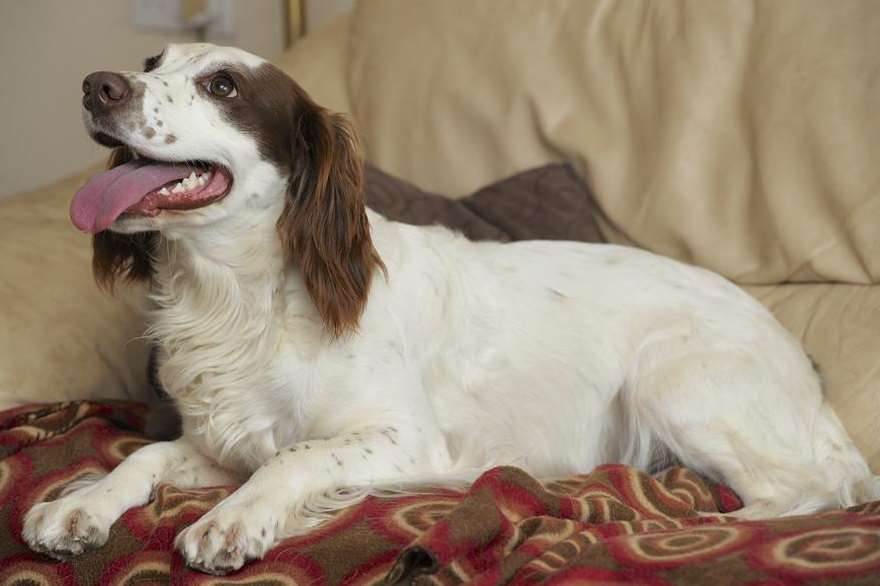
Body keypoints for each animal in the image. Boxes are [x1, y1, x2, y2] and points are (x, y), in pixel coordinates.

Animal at [22, 43, 880, 572]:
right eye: (151, 63)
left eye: (223, 86)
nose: (97, 86)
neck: (246, 297)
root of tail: (805, 367)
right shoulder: (219, 439)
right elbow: (143, 458)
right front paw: (80, 506)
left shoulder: (402, 439)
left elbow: (294, 457)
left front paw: (230, 520)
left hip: (670, 377)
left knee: (805, 491)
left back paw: (688, 526)